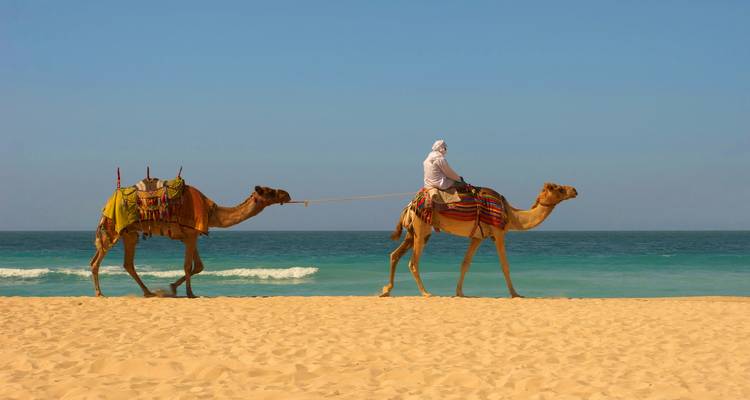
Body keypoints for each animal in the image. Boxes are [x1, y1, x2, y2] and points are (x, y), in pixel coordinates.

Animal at [89, 184, 291, 298]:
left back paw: (148, 292)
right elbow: (188, 266)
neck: (211, 212)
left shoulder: (191, 236)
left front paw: (173, 287)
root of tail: (106, 206)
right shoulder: (190, 235)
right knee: (96, 261)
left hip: (129, 233)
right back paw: (100, 293)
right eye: (270, 191)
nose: (287, 194)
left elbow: (199, 266)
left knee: (127, 263)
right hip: (113, 229)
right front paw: (189, 293)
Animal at [382, 182, 577, 298]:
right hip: (421, 228)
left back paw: (386, 290)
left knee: (394, 255)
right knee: (413, 262)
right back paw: (426, 292)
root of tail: (410, 204)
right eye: (559, 188)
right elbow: (505, 265)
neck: (511, 214)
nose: (574, 190)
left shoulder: (478, 237)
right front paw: (515, 294)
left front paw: (460, 292)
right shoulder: (498, 233)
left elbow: (465, 263)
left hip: (414, 232)